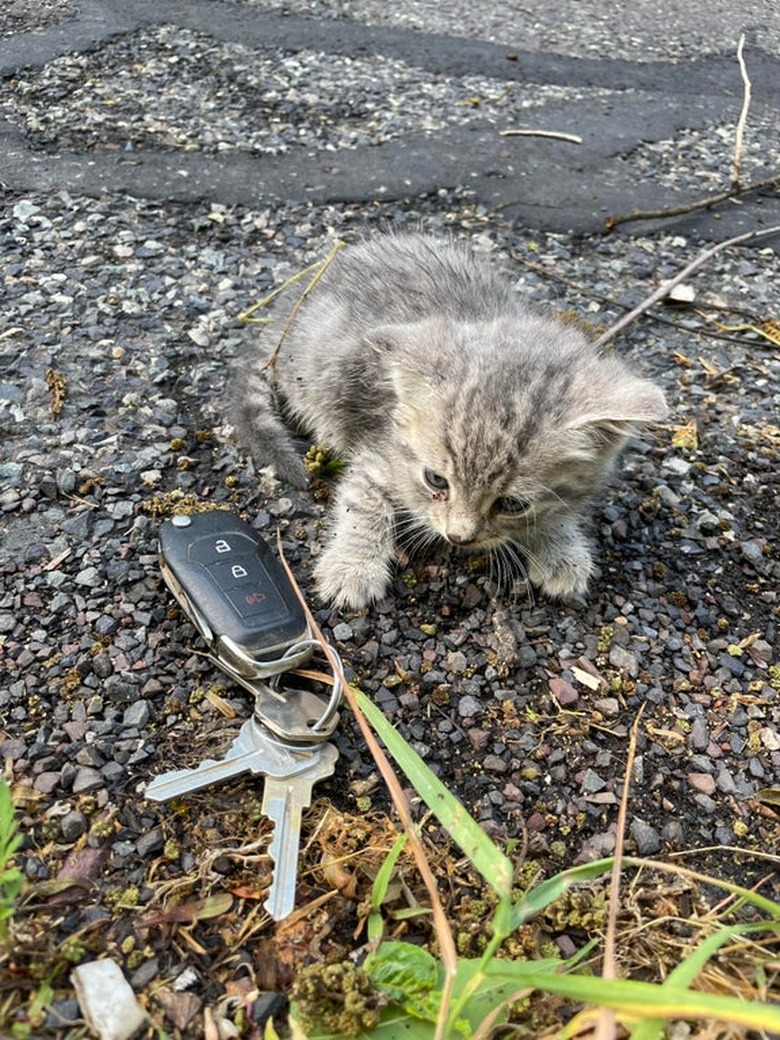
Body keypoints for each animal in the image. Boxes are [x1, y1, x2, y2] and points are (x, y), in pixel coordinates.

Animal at [231, 233, 665, 607]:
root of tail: (287, 310)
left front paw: (560, 546)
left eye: (512, 504)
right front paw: (352, 566)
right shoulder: (378, 451)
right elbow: (362, 503)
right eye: (436, 481)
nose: (458, 537)